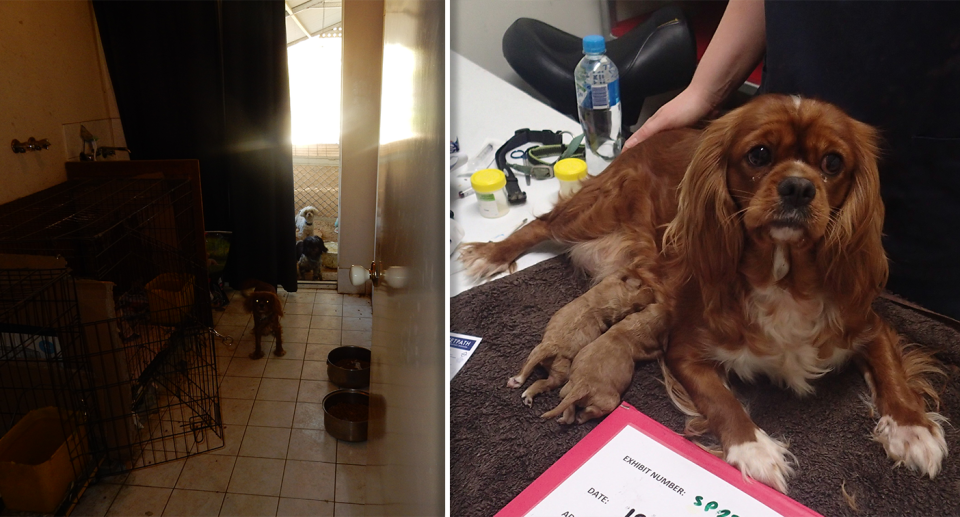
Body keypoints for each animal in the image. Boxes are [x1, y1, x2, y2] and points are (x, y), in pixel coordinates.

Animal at [506, 276, 656, 406]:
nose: (651, 289)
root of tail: (553, 347)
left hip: (542, 357)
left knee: (534, 373)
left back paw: (522, 387)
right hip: (556, 368)